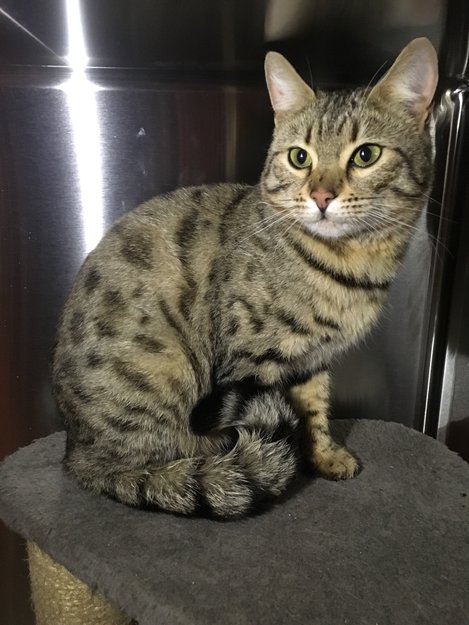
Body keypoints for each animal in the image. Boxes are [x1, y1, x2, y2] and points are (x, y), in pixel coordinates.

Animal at [53, 38, 438, 519]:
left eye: (366, 155)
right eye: (299, 157)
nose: (321, 196)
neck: (350, 268)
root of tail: (77, 456)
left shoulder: (311, 360)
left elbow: (315, 410)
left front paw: (323, 456)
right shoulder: (254, 361)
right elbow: (279, 412)